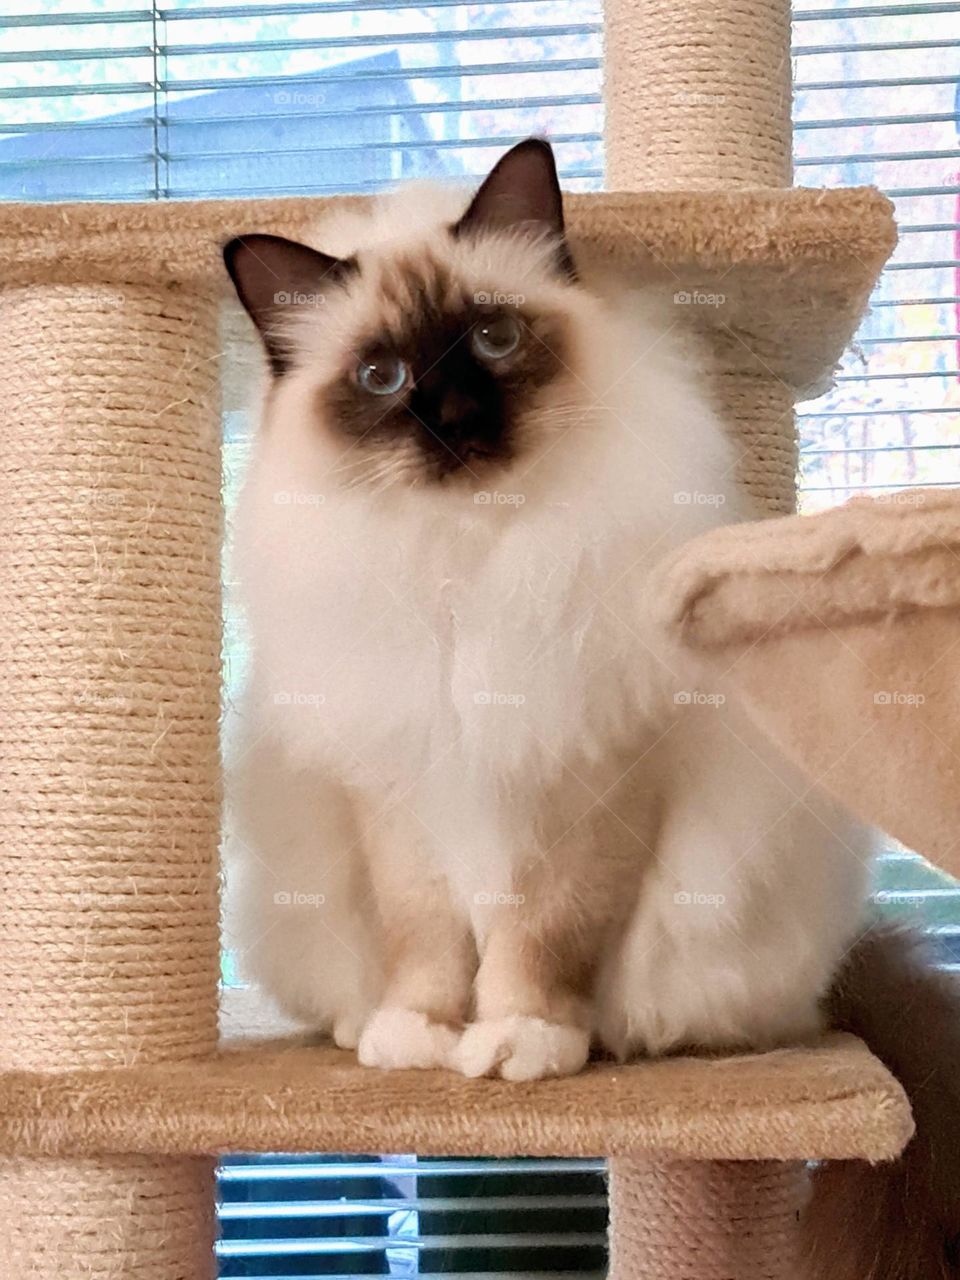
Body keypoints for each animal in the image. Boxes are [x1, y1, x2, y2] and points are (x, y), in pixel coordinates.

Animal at [220, 140, 870, 1080]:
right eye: (381, 376)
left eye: (495, 339)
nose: (453, 418)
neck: (466, 565)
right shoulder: (404, 800)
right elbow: (426, 940)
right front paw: (420, 1037)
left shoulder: (582, 783)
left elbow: (542, 936)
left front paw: (520, 1040)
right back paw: (360, 1028)